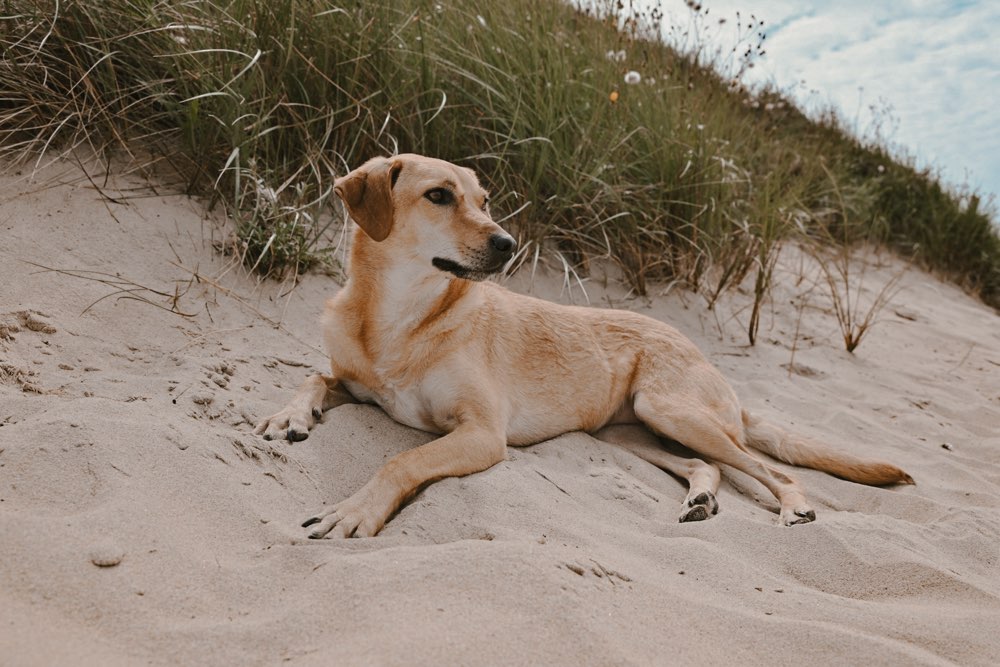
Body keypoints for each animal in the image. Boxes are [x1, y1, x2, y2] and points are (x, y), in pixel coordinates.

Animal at [256, 154, 916, 540]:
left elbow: (401, 460)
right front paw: (288, 415)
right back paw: (701, 500)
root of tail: (702, 354)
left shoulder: (481, 433)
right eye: (439, 195)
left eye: (485, 201)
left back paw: (792, 507)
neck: (398, 317)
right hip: (629, 431)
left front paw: (354, 511)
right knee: (708, 466)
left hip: (670, 407)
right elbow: (316, 377)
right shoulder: (354, 379)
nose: (508, 244)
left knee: (767, 468)